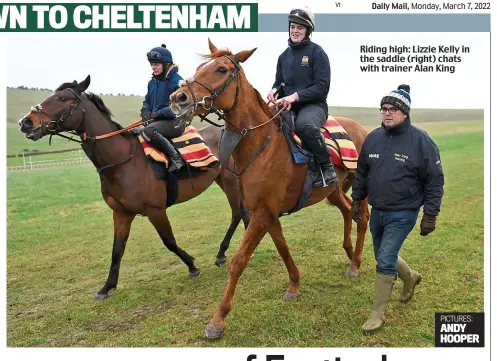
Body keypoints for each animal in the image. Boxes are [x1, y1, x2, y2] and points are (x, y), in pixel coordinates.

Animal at [18, 76, 248, 300]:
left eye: (63, 98)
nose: (26, 122)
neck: (122, 160)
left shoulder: (156, 210)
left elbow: (169, 241)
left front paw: (192, 265)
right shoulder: (121, 213)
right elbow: (117, 250)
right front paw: (107, 287)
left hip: (229, 181)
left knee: (237, 213)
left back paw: (221, 254)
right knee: (244, 212)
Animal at [170, 40, 368, 338]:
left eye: (221, 69)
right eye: (200, 67)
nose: (178, 98)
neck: (262, 144)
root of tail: (364, 129)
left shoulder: (262, 213)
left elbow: (239, 260)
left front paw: (218, 320)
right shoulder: (267, 213)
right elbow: (283, 249)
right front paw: (294, 286)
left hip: (360, 185)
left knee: (362, 217)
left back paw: (355, 263)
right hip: (334, 191)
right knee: (347, 211)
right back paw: (348, 253)